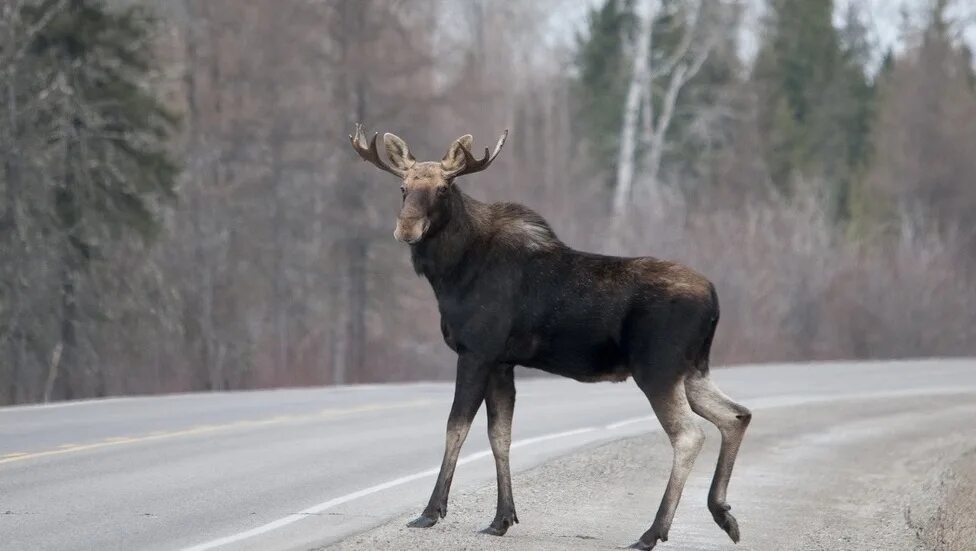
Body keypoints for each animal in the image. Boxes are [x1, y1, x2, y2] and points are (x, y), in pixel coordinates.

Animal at [350, 126, 756, 551]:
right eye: (403, 187)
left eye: (443, 188)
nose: (407, 228)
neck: (448, 274)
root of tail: (714, 299)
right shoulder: (502, 362)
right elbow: (500, 435)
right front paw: (501, 519)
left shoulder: (476, 352)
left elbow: (455, 427)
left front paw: (430, 512)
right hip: (693, 370)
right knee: (736, 415)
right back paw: (723, 514)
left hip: (658, 370)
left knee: (689, 435)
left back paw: (652, 532)